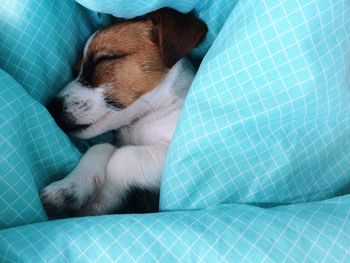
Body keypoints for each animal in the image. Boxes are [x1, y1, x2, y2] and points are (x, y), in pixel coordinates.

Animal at [40, 8, 208, 217]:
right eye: (75, 70)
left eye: (103, 59)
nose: (51, 108)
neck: (148, 116)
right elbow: (101, 148)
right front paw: (69, 186)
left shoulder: (180, 154)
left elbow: (121, 157)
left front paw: (102, 201)